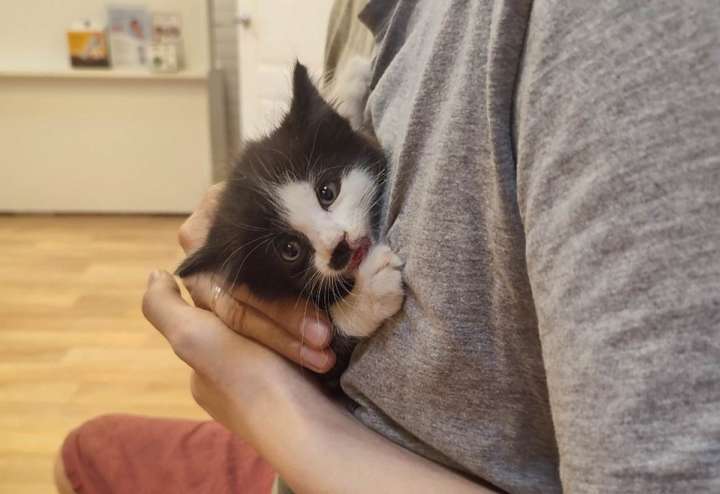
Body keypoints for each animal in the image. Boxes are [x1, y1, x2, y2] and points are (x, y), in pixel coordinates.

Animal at [176, 62, 404, 382]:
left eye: (327, 191)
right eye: (290, 249)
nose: (340, 246)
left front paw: (350, 80)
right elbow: (329, 353)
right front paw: (370, 292)